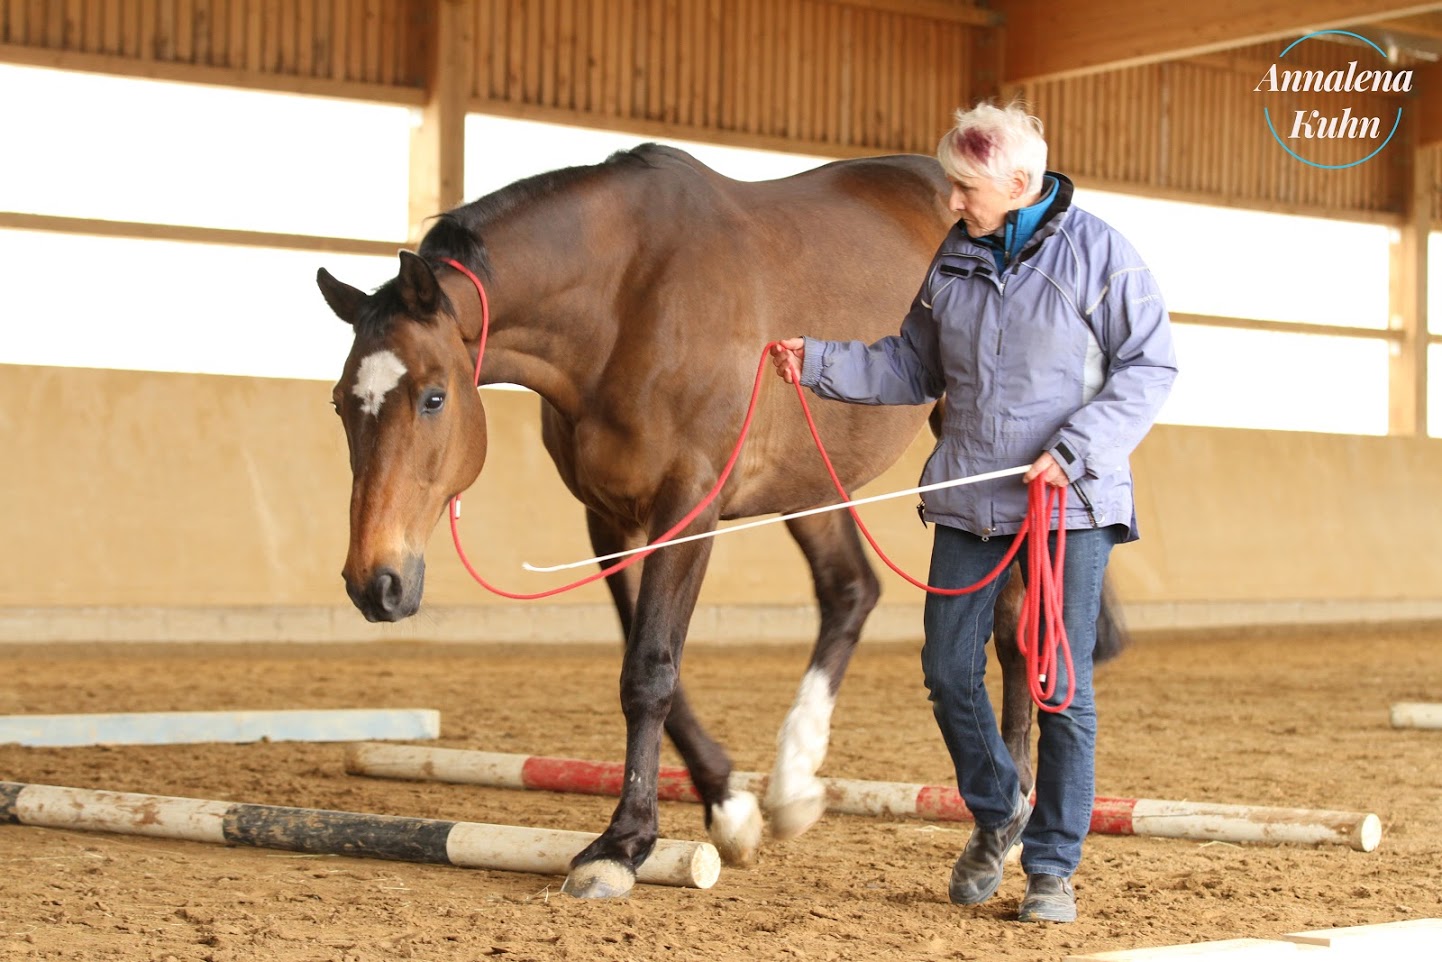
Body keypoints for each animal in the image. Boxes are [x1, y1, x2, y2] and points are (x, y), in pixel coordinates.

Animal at [315, 143, 1125, 898]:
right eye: (339, 404)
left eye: (433, 398)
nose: (373, 584)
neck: (625, 301)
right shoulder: (609, 520)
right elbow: (649, 667)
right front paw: (731, 810)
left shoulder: (688, 507)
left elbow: (649, 670)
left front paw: (622, 846)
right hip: (808, 481)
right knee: (851, 592)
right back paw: (794, 785)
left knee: (1013, 627)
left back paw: (1012, 812)